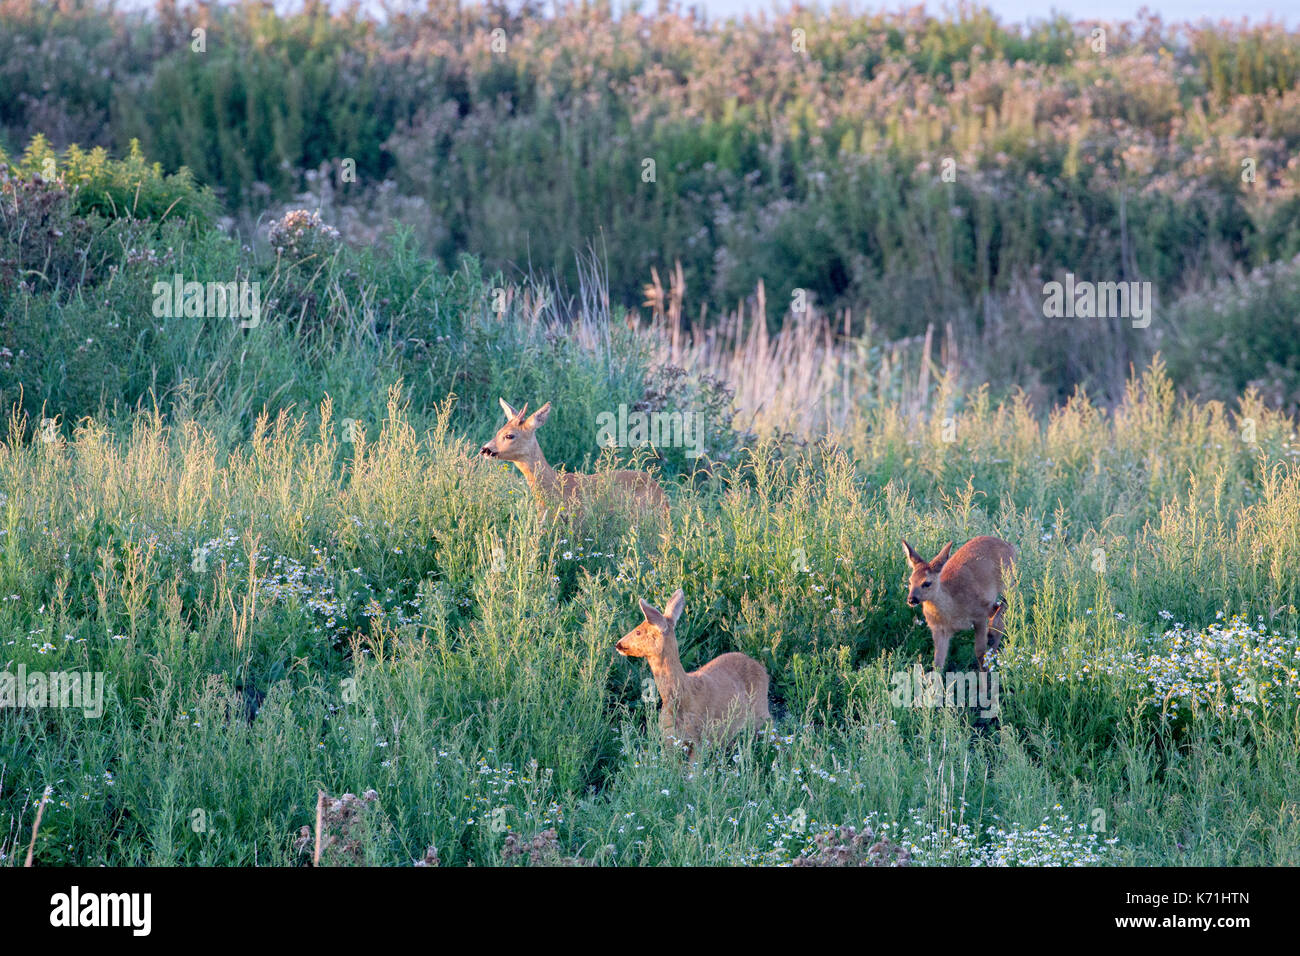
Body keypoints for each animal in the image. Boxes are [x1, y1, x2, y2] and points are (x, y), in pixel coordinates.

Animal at [613, 587, 764, 759]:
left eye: (638, 632)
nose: (618, 644)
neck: (682, 697)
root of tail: (759, 666)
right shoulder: (669, 739)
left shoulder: (699, 739)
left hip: (761, 712)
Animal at [904, 538, 1013, 671]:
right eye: (910, 581)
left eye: (927, 583)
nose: (911, 599)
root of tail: (1009, 545)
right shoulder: (939, 630)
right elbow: (938, 664)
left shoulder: (979, 616)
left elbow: (980, 653)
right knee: (999, 613)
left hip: (1008, 581)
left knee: (1007, 601)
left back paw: (992, 637)